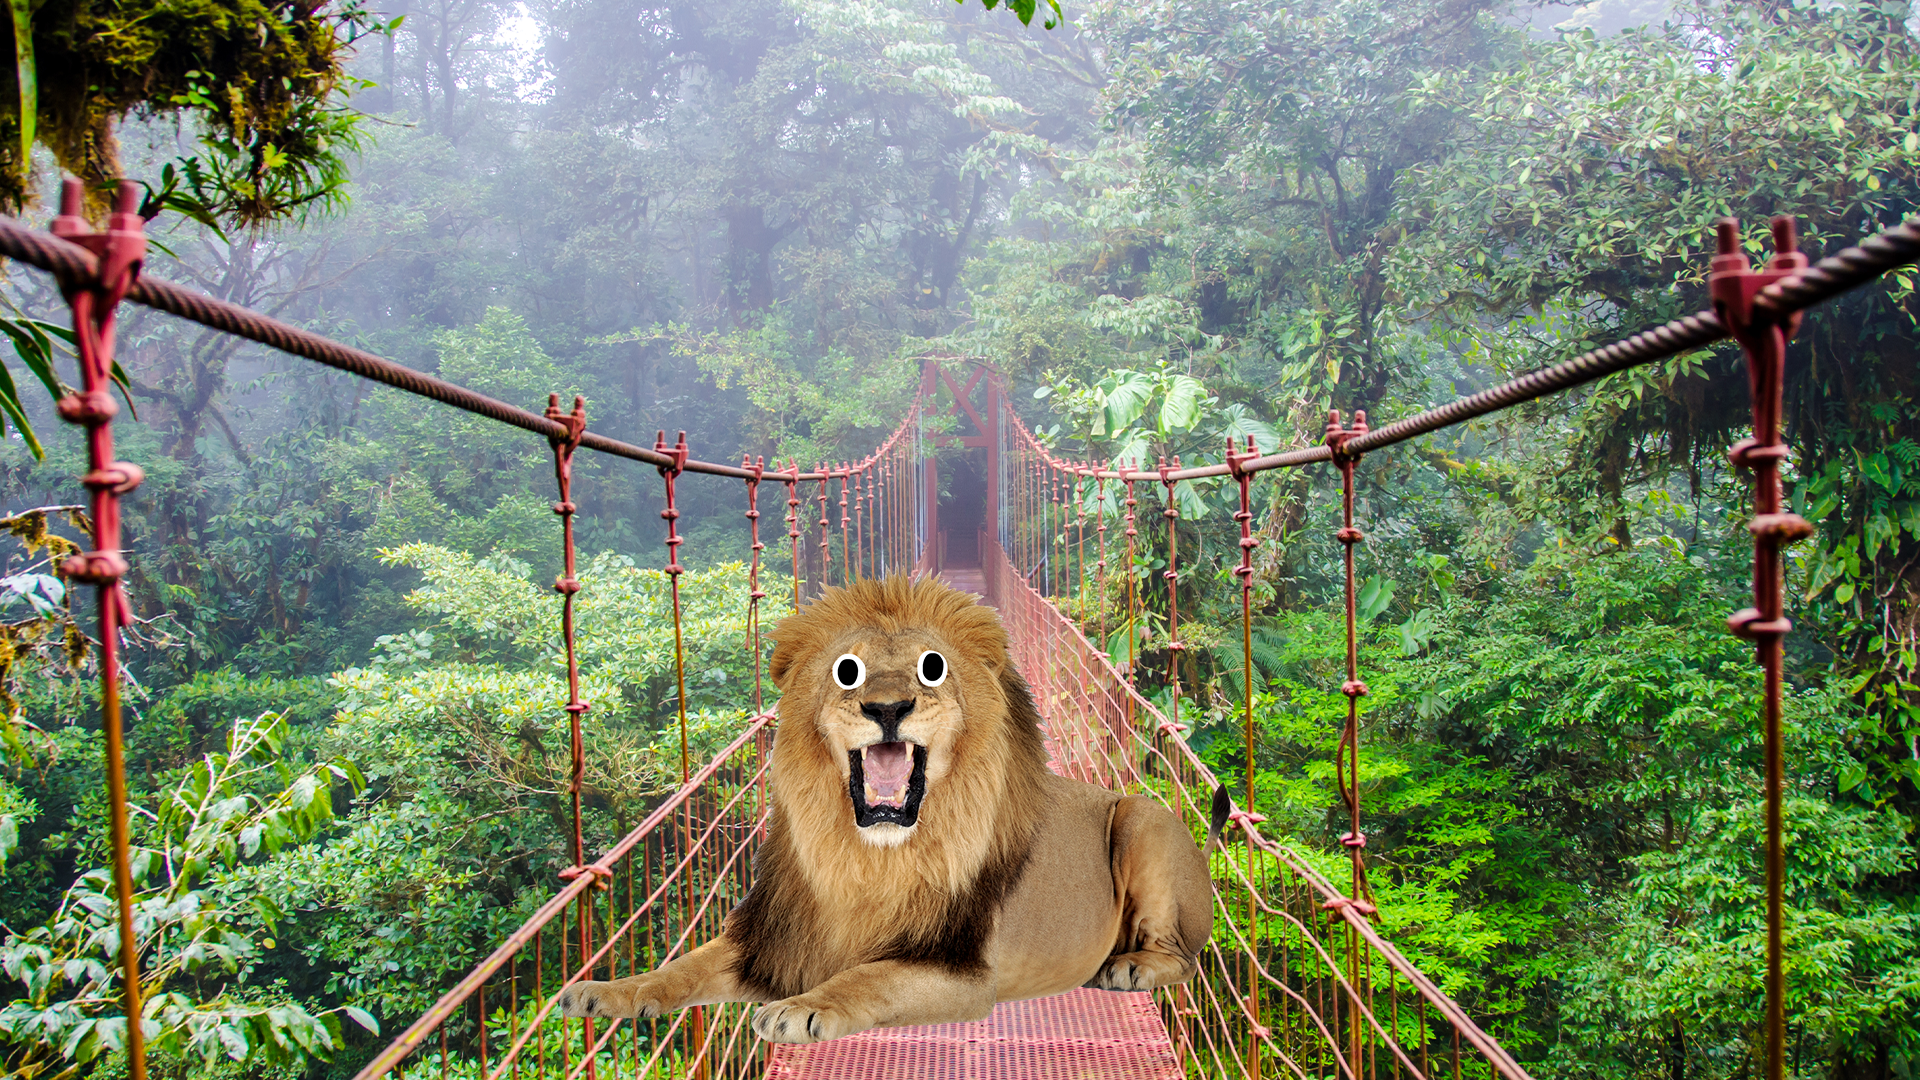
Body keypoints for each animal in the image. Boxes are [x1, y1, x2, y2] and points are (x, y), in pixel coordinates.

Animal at [558, 574, 1218, 1044]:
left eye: (933, 667)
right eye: (846, 671)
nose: (887, 708)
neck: (867, 858)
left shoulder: (962, 972)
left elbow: (867, 975)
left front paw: (802, 1008)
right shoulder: (776, 937)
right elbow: (683, 968)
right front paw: (607, 992)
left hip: (1143, 821)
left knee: (1185, 958)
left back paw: (1129, 968)